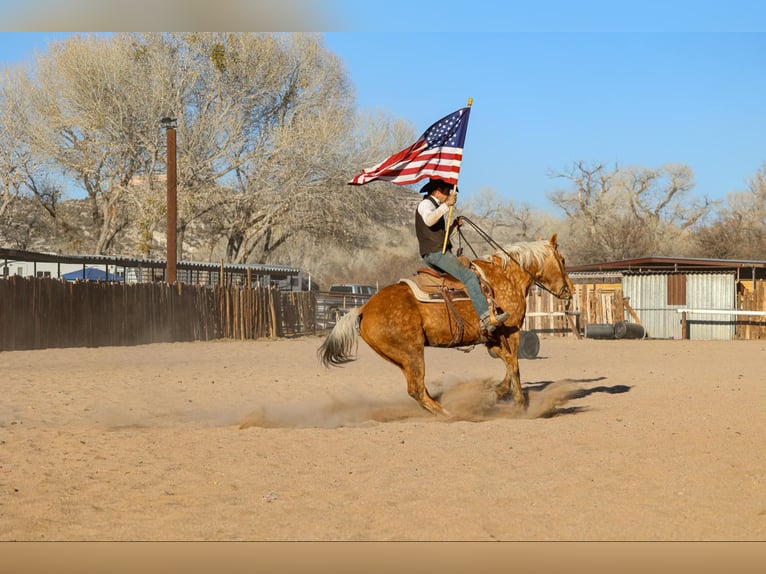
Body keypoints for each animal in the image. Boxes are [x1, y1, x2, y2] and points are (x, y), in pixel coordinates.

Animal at [318, 235, 576, 418]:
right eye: (563, 260)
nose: (570, 290)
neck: (505, 278)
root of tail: (363, 309)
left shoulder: (493, 338)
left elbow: (507, 363)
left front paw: (497, 393)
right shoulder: (511, 332)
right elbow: (514, 366)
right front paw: (520, 405)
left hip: (400, 358)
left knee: (418, 390)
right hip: (412, 353)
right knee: (416, 389)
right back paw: (450, 413)